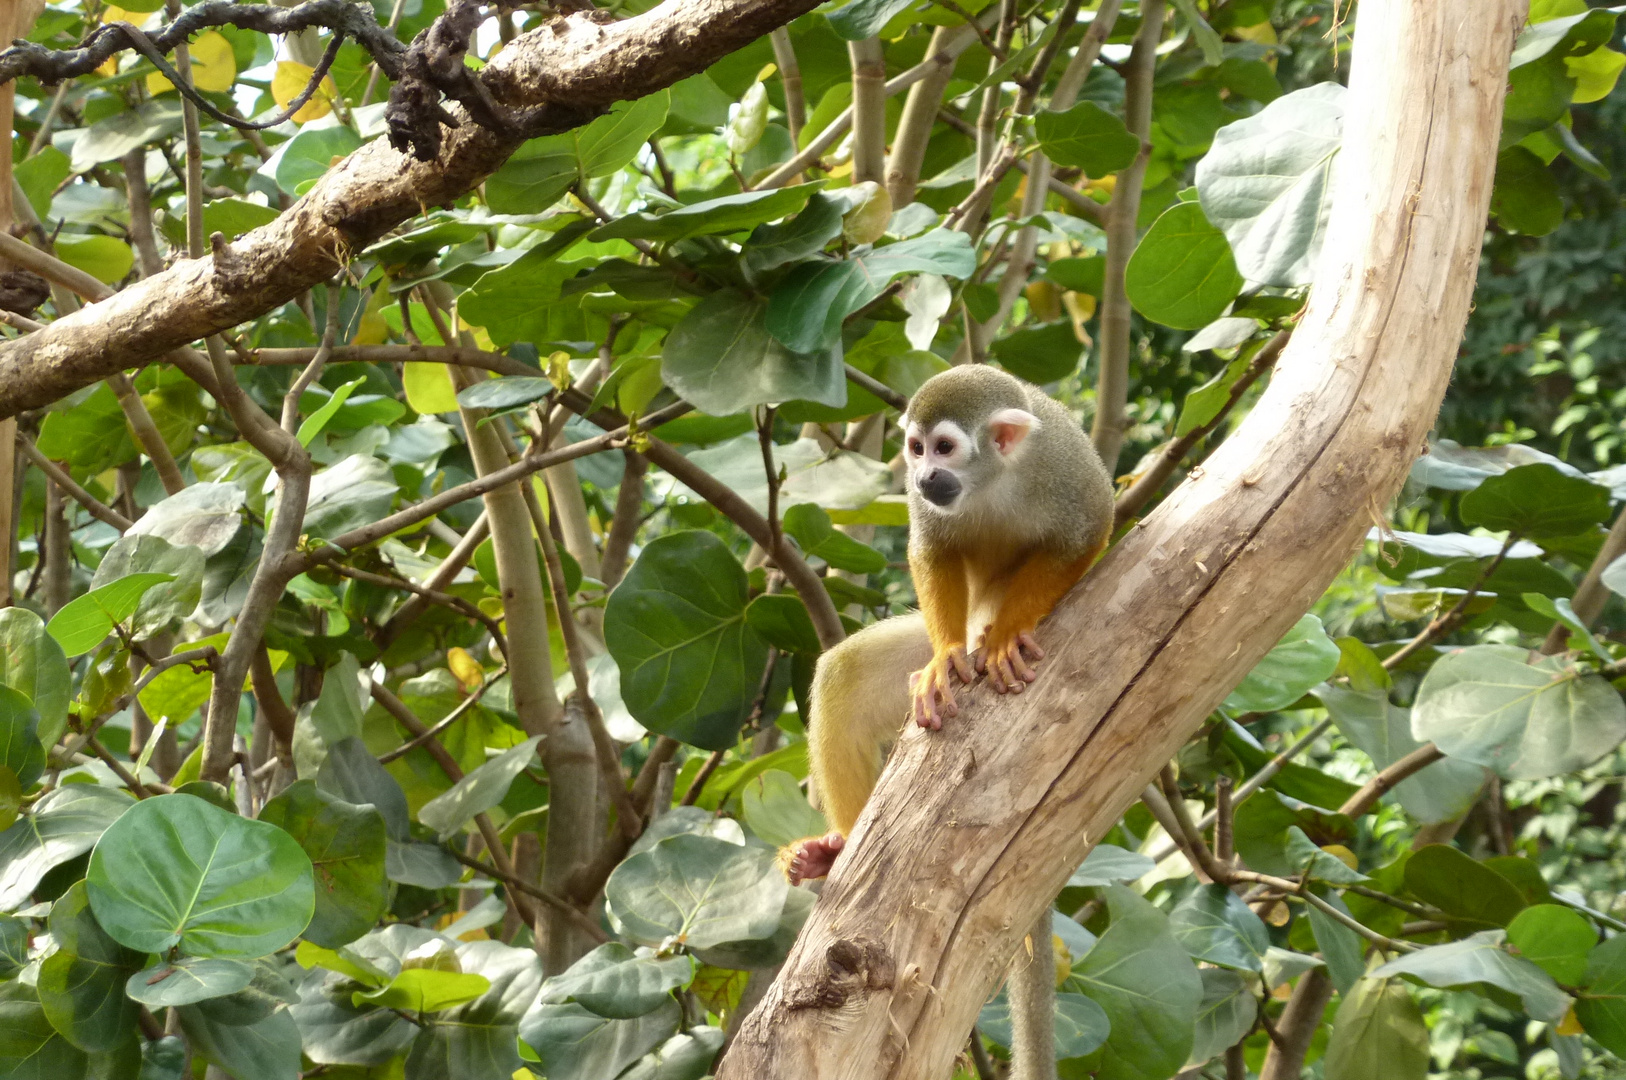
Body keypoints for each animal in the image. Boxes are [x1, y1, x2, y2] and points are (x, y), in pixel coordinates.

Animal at [786, 367, 1118, 884]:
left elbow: (1090, 529)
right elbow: (932, 550)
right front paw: (945, 656)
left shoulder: (1065, 464)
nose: (923, 476)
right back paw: (835, 851)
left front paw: (1007, 634)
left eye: (944, 447)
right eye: (916, 447)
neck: (993, 478)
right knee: (843, 674)